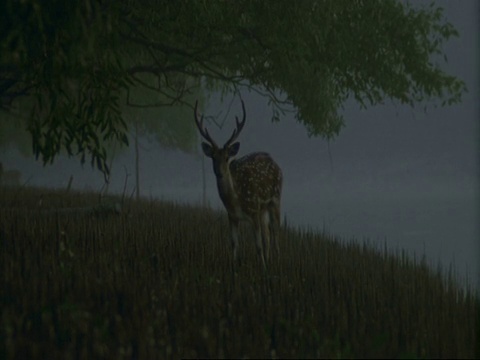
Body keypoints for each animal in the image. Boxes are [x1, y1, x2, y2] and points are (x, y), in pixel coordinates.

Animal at [194, 100, 284, 268]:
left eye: (227, 157)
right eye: (213, 157)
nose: (219, 173)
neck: (236, 200)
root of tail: (274, 161)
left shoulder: (254, 211)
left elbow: (258, 245)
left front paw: (262, 268)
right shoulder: (232, 216)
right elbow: (234, 244)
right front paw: (235, 268)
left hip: (275, 199)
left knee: (275, 233)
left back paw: (276, 261)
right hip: (263, 210)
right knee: (268, 235)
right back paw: (270, 261)